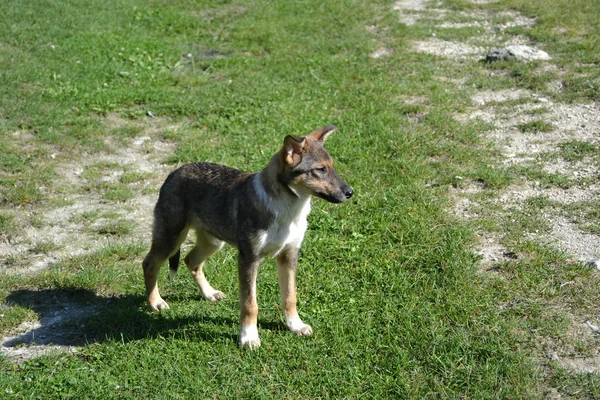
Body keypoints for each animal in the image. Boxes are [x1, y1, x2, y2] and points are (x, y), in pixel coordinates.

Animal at [143, 124, 354, 346]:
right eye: (320, 170)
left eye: (332, 167)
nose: (350, 193)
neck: (288, 211)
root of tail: (174, 172)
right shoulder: (248, 259)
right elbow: (250, 305)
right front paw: (249, 337)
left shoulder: (289, 255)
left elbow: (290, 297)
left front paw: (295, 326)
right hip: (171, 238)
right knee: (149, 264)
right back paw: (155, 302)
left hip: (213, 242)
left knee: (190, 260)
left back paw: (209, 294)